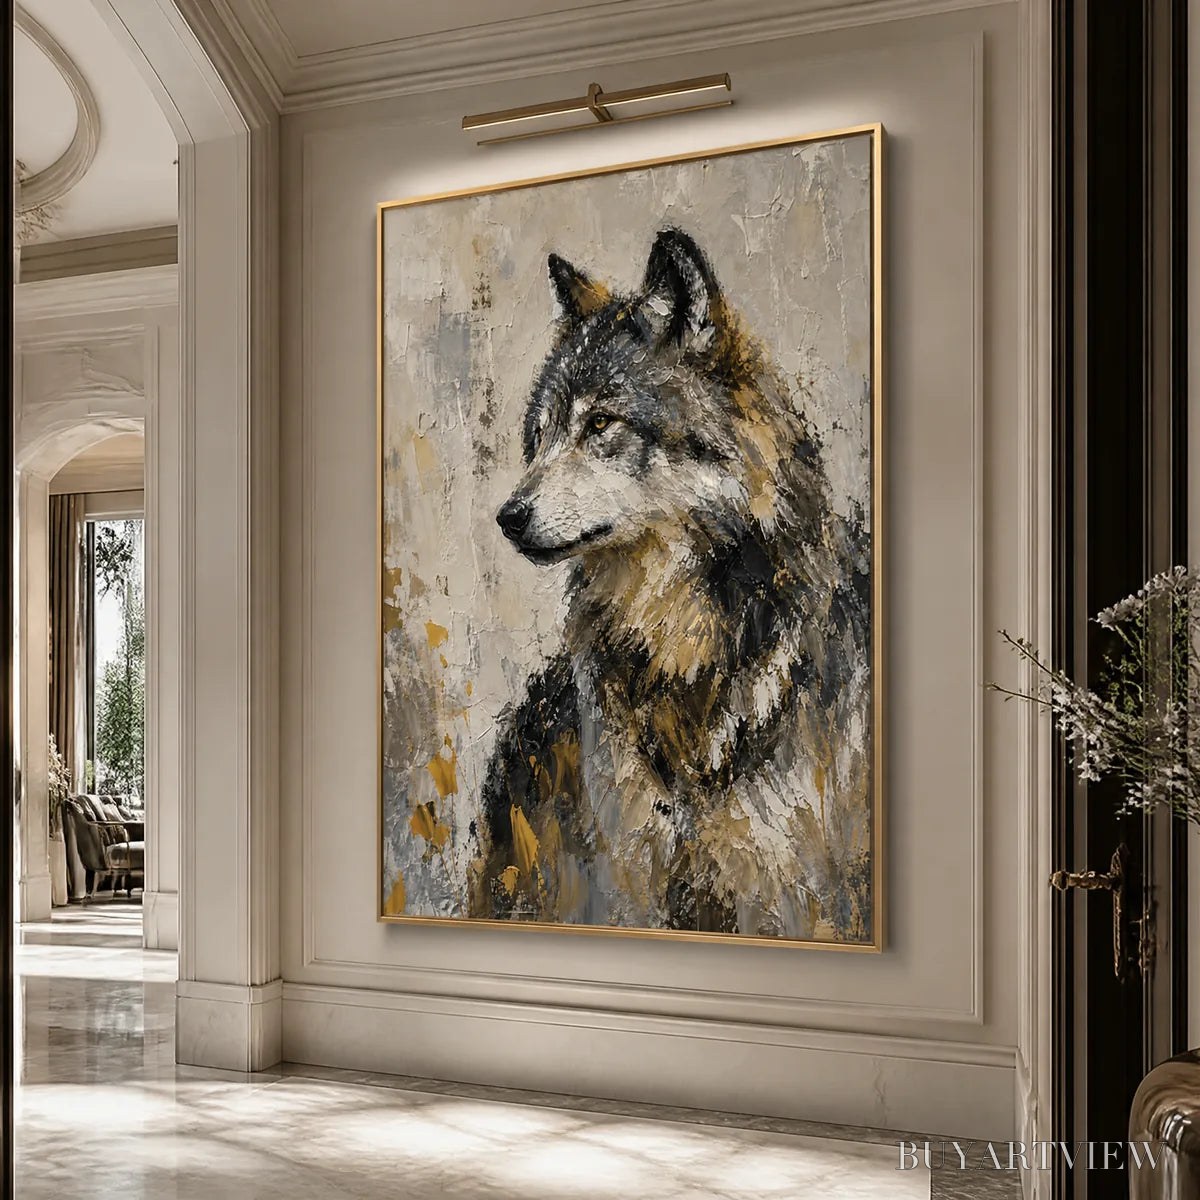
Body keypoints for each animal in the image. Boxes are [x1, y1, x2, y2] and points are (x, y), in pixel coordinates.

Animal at [471, 228, 872, 941]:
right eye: (540, 436)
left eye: (601, 424)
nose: (508, 517)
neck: (679, 653)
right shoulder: (630, 877)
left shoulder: (786, 892)